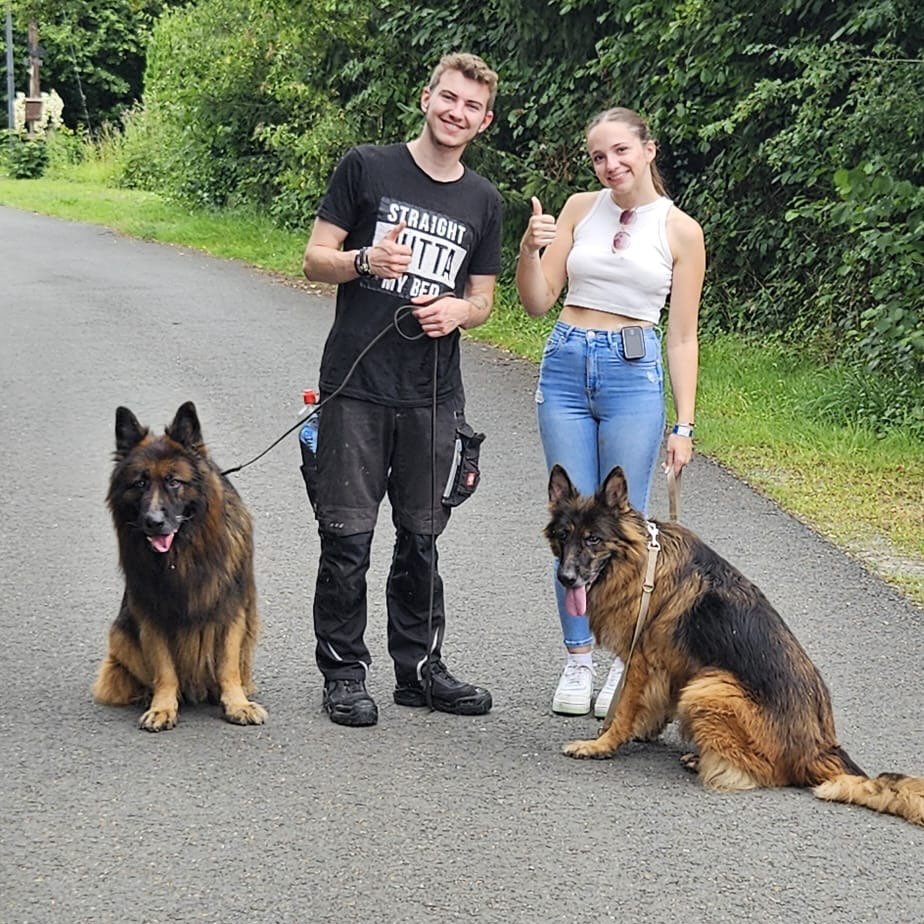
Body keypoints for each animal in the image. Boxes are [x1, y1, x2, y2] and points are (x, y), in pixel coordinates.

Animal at [92, 402, 267, 732]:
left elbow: (227, 666)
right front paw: (162, 707)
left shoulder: (231, 610)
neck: (183, 554)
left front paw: (236, 704)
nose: (154, 522)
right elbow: (164, 669)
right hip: (120, 635)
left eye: (174, 481)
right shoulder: (152, 614)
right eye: (140, 483)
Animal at [545, 464, 924, 826]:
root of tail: (819, 748)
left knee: (769, 773)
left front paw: (602, 744)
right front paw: (643, 729)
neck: (642, 560)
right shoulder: (663, 666)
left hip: (711, 685)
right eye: (564, 535)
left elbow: (623, 709)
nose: (566, 578)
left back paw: (708, 762)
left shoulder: (641, 659)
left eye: (593, 539)